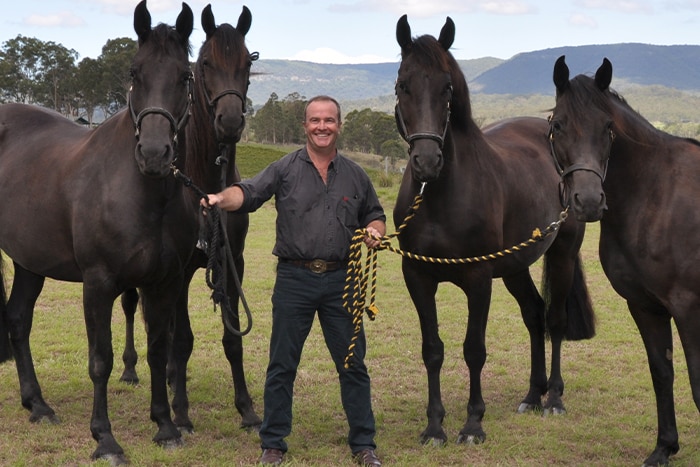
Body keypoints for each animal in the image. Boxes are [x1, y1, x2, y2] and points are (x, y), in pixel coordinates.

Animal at [0, 1, 197, 464]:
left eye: (185, 75)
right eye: (134, 71)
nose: (154, 153)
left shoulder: (163, 283)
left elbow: (158, 351)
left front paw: (165, 426)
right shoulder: (98, 283)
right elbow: (101, 360)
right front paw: (104, 438)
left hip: (29, 261)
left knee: (18, 320)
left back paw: (38, 405)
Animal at [119, 4, 264, 436]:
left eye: (248, 63)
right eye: (204, 64)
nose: (230, 122)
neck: (205, 183)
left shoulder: (233, 262)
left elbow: (232, 337)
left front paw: (247, 409)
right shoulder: (179, 270)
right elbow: (181, 339)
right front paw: (180, 414)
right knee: (135, 310)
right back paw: (133, 370)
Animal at [392, 14, 592, 446]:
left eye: (447, 87)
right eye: (403, 84)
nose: (427, 162)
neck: (440, 197)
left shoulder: (478, 279)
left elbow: (474, 349)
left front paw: (472, 424)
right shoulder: (417, 277)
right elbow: (432, 349)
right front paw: (434, 426)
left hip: (562, 254)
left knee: (554, 320)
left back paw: (553, 398)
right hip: (515, 267)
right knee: (534, 314)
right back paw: (532, 395)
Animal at [548, 55, 700, 467]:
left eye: (608, 127)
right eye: (557, 125)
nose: (587, 201)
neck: (655, 196)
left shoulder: (689, 307)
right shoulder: (644, 306)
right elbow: (662, 372)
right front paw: (664, 447)